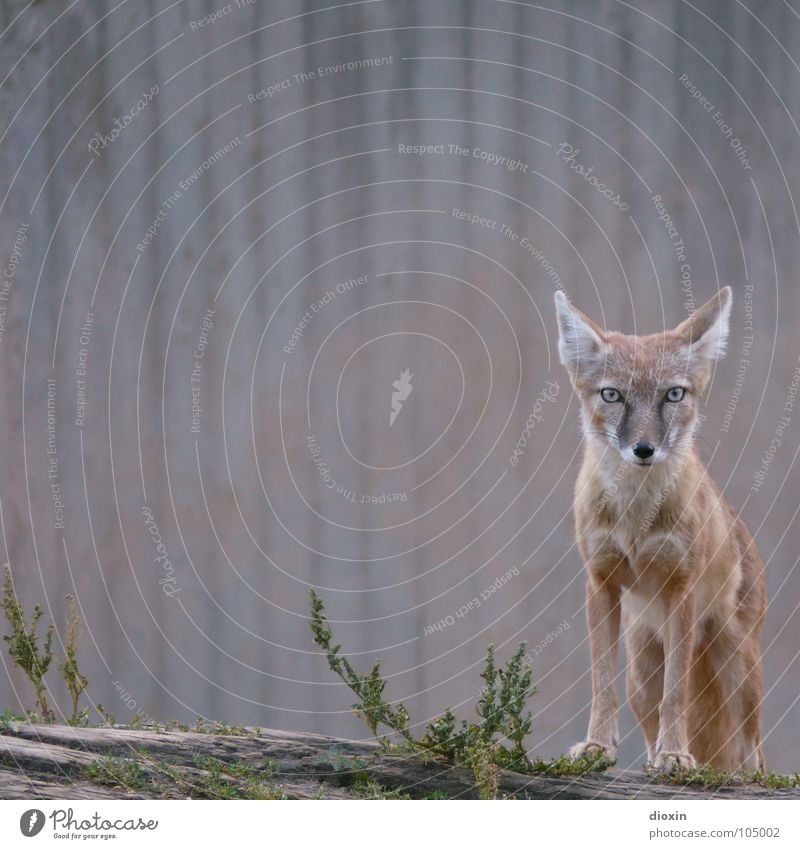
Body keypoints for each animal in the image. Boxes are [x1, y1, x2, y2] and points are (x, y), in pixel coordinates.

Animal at [552, 288, 764, 772]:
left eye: (673, 394)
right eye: (613, 394)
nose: (644, 449)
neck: (635, 516)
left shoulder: (680, 588)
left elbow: (677, 692)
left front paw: (676, 754)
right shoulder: (600, 582)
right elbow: (601, 683)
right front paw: (597, 747)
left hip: (740, 673)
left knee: (751, 756)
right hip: (641, 674)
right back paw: (650, 758)